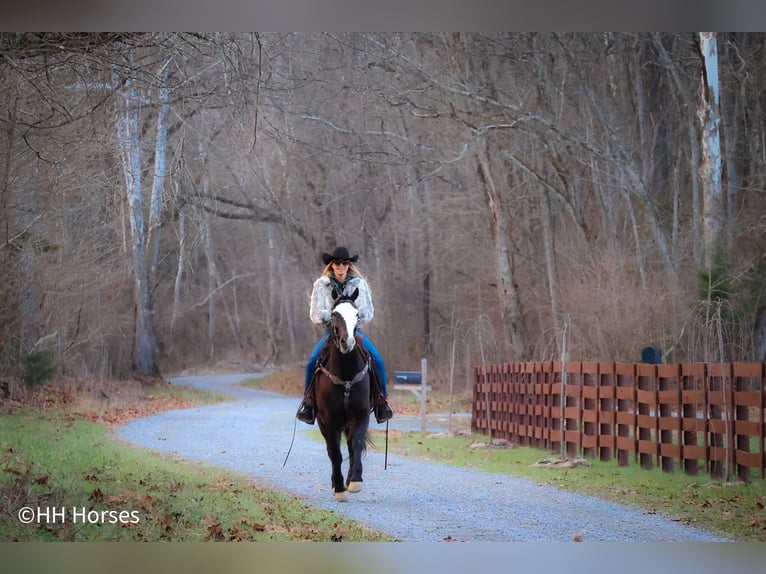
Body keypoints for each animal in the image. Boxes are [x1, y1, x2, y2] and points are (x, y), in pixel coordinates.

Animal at [312, 290, 372, 502]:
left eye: (357, 314)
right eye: (334, 315)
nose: (348, 343)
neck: (346, 375)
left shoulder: (362, 415)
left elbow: (356, 445)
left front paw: (354, 481)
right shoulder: (329, 421)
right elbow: (335, 454)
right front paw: (338, 489)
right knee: (332, 452)